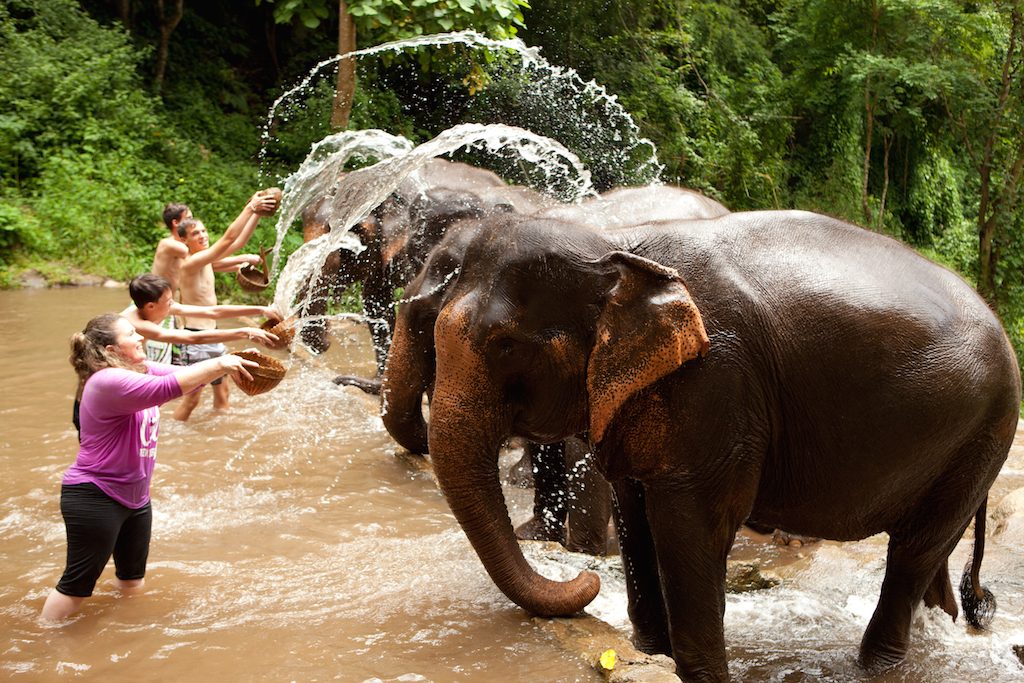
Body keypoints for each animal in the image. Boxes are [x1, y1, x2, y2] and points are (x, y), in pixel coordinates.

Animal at [417, 210, 1024, 679]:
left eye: (505, 344)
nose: (583, 579)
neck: (616, 242)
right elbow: (634, 513)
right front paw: (650, 653)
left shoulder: (716, 383)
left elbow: (691, 526)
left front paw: (699, 673)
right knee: (929, 551)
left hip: (987, 430)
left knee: (914, 549)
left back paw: (875, 668)